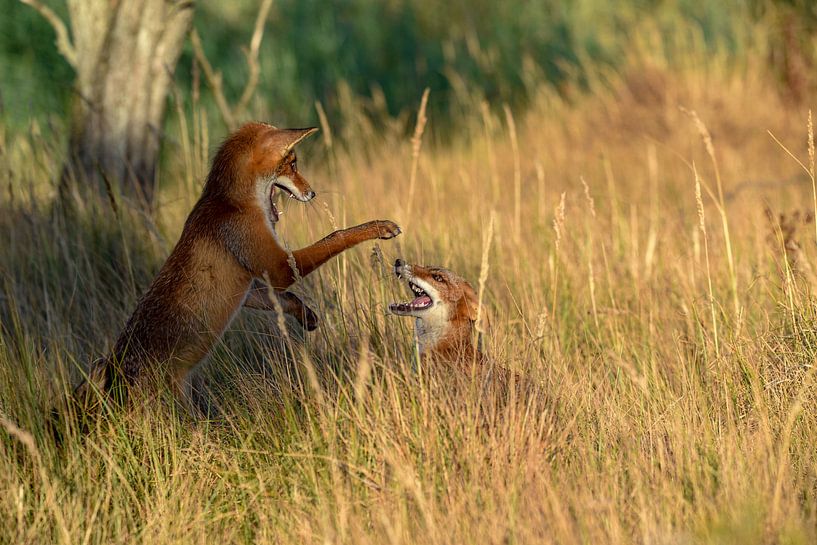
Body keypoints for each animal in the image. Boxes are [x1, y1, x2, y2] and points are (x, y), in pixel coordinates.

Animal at [76, 122, 402, 412]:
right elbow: (336, 236)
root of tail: (115, 369)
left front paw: (306, 316)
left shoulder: (248, 286)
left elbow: (287, 299)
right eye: (293, 165)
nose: (312, 193)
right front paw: (378, 227)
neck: (233, 203)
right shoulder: (279, 267)